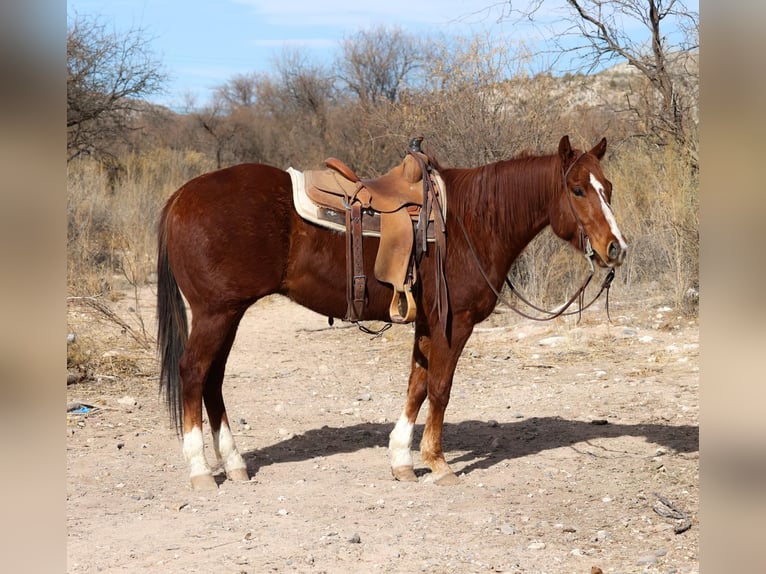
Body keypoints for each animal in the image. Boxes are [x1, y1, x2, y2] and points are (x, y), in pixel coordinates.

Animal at [157, 135, 627, 490]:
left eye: (607, 187)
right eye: (578, 189)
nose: (616, 249)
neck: (472, 221)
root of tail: (181, 196)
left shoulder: (427, 322)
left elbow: (416, 385)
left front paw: (401, 459)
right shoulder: (454, 324)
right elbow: (440, 388)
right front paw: (438, 462)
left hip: (229, 314)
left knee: (213, 380)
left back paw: (234, 464)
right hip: (216, 314)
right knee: (194, 374)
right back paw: (201, 470)